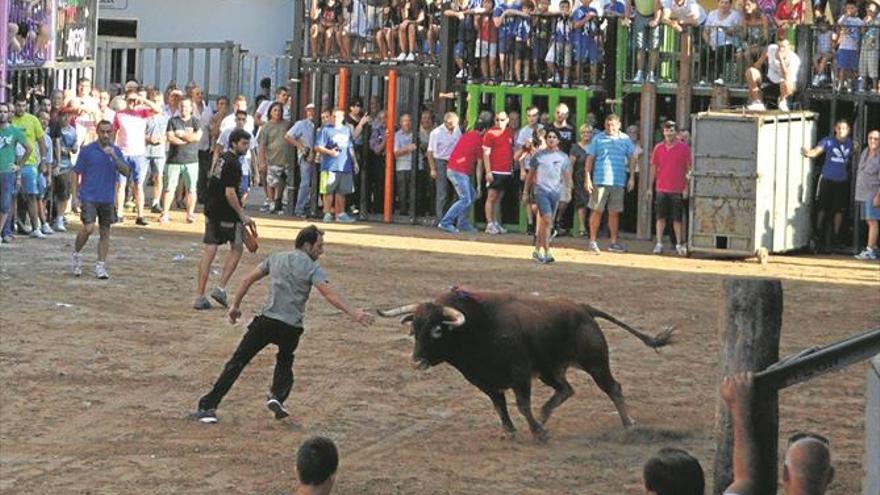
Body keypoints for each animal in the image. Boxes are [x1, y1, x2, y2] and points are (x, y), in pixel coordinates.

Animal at [378, 288, 672, 444]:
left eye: (438, 330)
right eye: (414, 329)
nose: (416, 361)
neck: (478, 329)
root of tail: (582, 308)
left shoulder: (520, 375)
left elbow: (521, 405)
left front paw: (538, 432)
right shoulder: (486, 382)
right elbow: (500, 406)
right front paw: (512, 430)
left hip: (595, 363)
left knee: (613, 388)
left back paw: (628, 423)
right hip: (549, 370)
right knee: (566, 389)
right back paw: (545, 415)